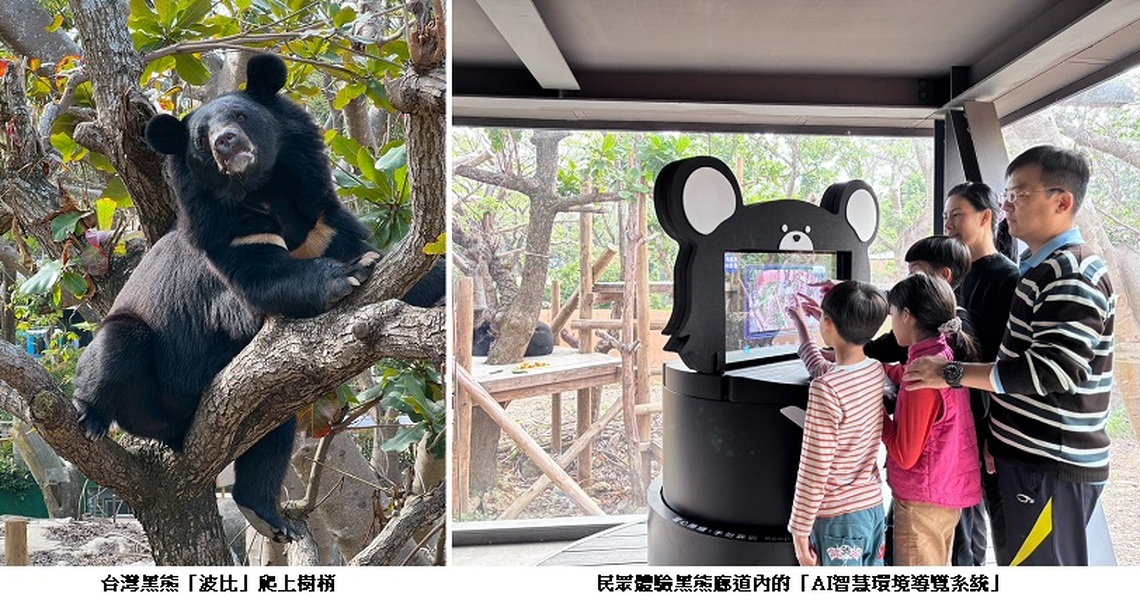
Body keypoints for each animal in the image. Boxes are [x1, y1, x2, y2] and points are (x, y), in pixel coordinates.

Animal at [72, 54, 444, 543]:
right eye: (200, 138)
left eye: (242, 116)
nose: (225, 142)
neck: (264, 191)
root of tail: (171, 429)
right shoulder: (225, 233)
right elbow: (259, 280)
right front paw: (349, 273)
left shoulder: (320, 220)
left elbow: (395, 269)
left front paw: (433, 280)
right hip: (139, 357)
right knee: (115, 348)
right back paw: (90, 415)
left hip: (264, 406)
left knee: (271, 441)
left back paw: (266, 515)